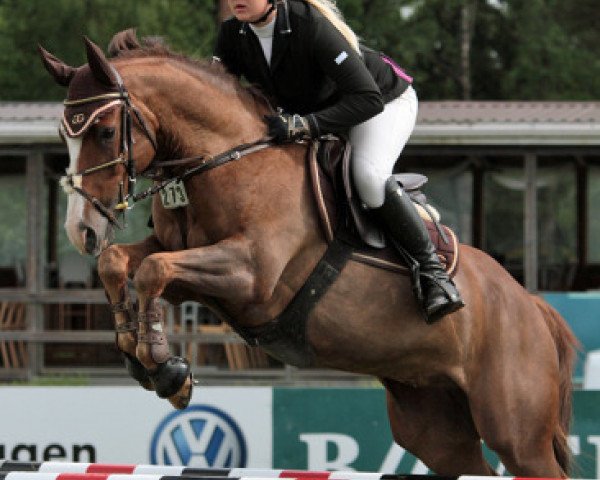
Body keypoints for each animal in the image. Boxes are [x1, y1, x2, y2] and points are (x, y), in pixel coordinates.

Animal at [39, 31, 580, 478]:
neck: (226, 159)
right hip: (434, 423)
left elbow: (152, 270)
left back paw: (438, 289)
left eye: (105, 132)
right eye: (64, 135)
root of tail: (532, 304)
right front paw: (138, 354)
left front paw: (165, 367)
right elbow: (121, 263)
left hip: (516, 430)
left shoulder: (252, 277)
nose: (81, 230)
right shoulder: (182, 258)